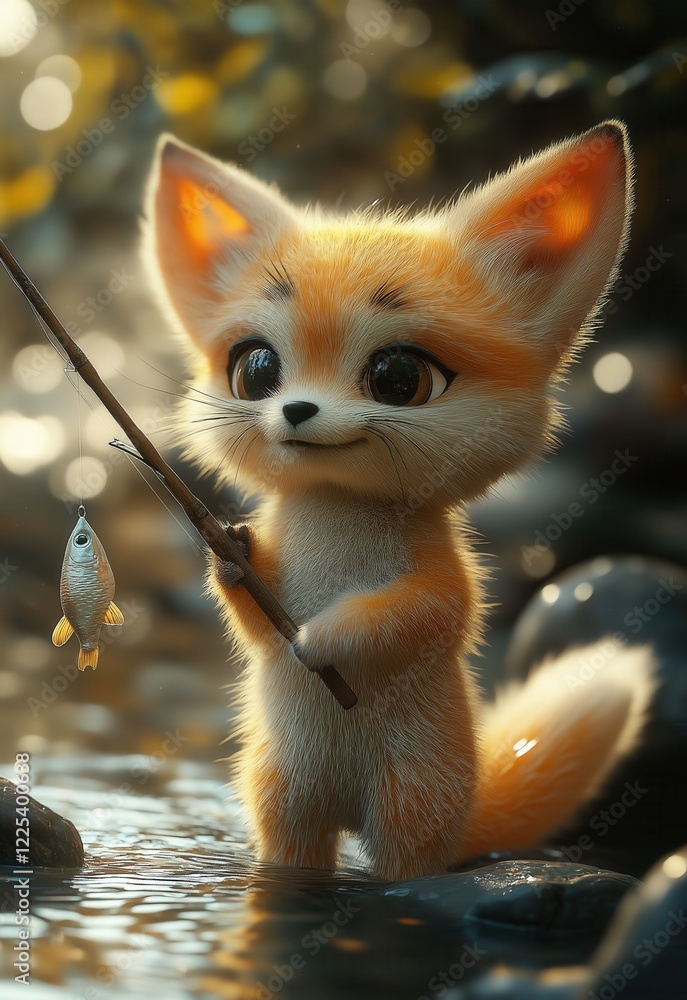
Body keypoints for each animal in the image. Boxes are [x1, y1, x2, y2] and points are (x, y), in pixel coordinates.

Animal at [144, 121, 654, 881]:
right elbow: (256, 622)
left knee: (405, 868)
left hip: (412, 797)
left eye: (398, 378)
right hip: (283, 792)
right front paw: (233, 560)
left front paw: (321, 637)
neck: (338, 507)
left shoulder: (445, 584)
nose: (296, 409)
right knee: (294, 851)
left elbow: (412, 616)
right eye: (255, 370)